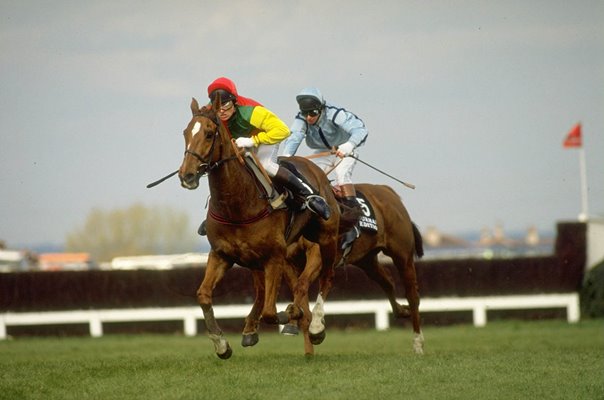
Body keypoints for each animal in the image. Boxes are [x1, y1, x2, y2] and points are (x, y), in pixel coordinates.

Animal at [178, 97, 340, 360]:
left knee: (326, 278)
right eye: (185, 132)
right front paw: (222, 344)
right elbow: (203, 295)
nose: (187, 175)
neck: (237, 204)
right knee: (275, 290)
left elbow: (271, 312)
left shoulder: (274, 256)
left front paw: (293, 314)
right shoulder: (221, 254)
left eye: (209, 134)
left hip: (326, 238)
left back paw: (316, 327)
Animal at [288, 183, 424, 354]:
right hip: (367, 260)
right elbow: (299, 289)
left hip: (403, 255)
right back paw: (402, 310)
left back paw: (418, 343)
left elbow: (304, 284)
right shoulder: (290, 261)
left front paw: (316, 328)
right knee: (387, 281)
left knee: (412, 296)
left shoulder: (317, 254)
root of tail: (388, 190)